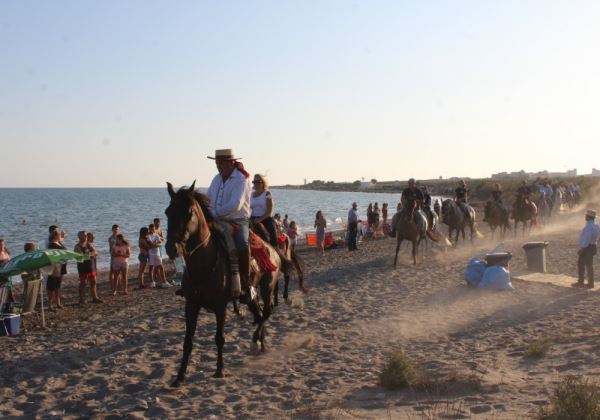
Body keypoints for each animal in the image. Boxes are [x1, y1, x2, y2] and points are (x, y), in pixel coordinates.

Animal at [164, 182, 304, 386]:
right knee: (260, 313)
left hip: (267, 286)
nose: (171, 248)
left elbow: (219, 338)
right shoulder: (191, 304)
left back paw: (255, 342)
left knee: (267, 312)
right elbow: (187, 341)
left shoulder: (220, 306)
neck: (203, 265)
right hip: (251, 296)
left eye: (189, 212)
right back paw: (261, 344)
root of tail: (273, 249)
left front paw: (219, 370)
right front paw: (179, 376)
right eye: (168, 212)